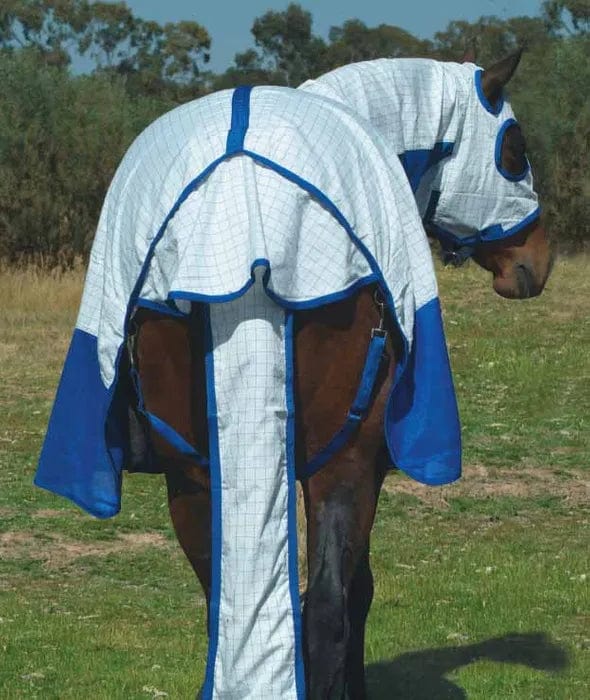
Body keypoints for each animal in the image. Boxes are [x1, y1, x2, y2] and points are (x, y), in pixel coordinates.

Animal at [36, 51, 552, 699]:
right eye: (516, 149)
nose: (536, 261)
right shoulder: (360, 465)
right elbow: (353, 594)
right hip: (342, 464)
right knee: (328, 609)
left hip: (194, 478)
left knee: (229, 607)